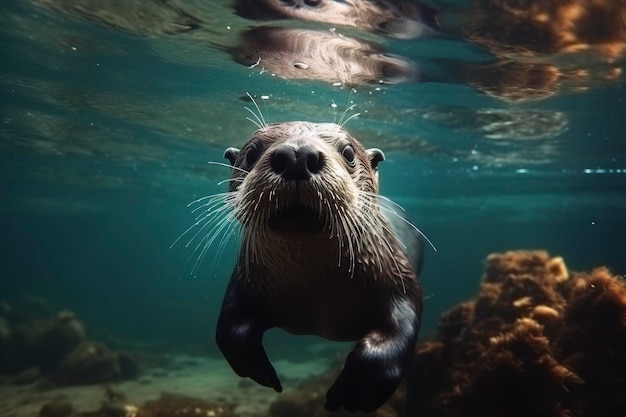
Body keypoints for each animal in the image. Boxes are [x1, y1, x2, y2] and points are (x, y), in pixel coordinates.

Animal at [216, 121, 424, 412]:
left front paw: (356, 391)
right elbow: (230, 330)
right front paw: (265, 375)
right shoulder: (245, 278)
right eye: (251, 152)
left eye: (348, 153)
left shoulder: (398, 277)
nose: (297, 155)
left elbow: (395, 336)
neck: (317, 298)